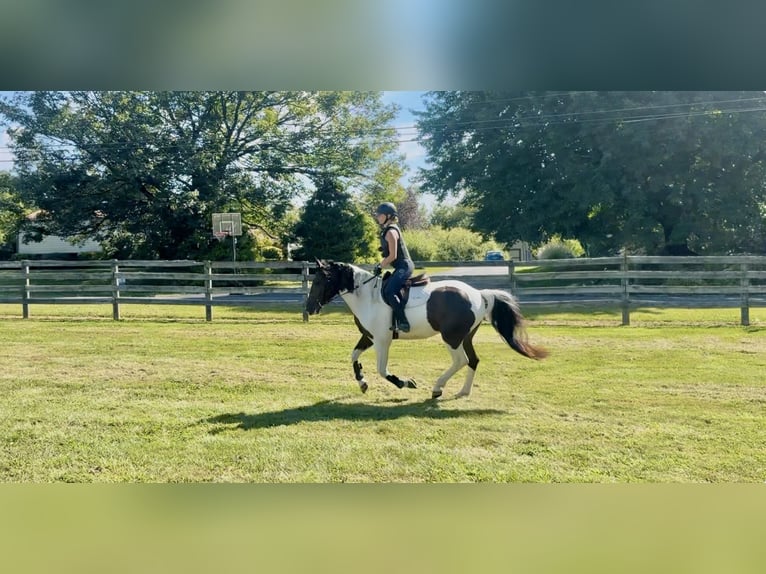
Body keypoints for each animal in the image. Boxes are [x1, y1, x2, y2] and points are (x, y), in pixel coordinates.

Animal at [304, 259, 547, 399]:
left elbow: (383, 370)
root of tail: (479, 294)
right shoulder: (369, 337)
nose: (308, 308)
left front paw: (406, 383)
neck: (367, 296)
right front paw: (362, 382)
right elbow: (354, 357)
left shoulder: (382, 341)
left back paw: (437, 388)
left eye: (319, 281)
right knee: (473, 360)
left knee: (461, 360)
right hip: (465, 337)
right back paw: (463, 392)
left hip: (451, 338)